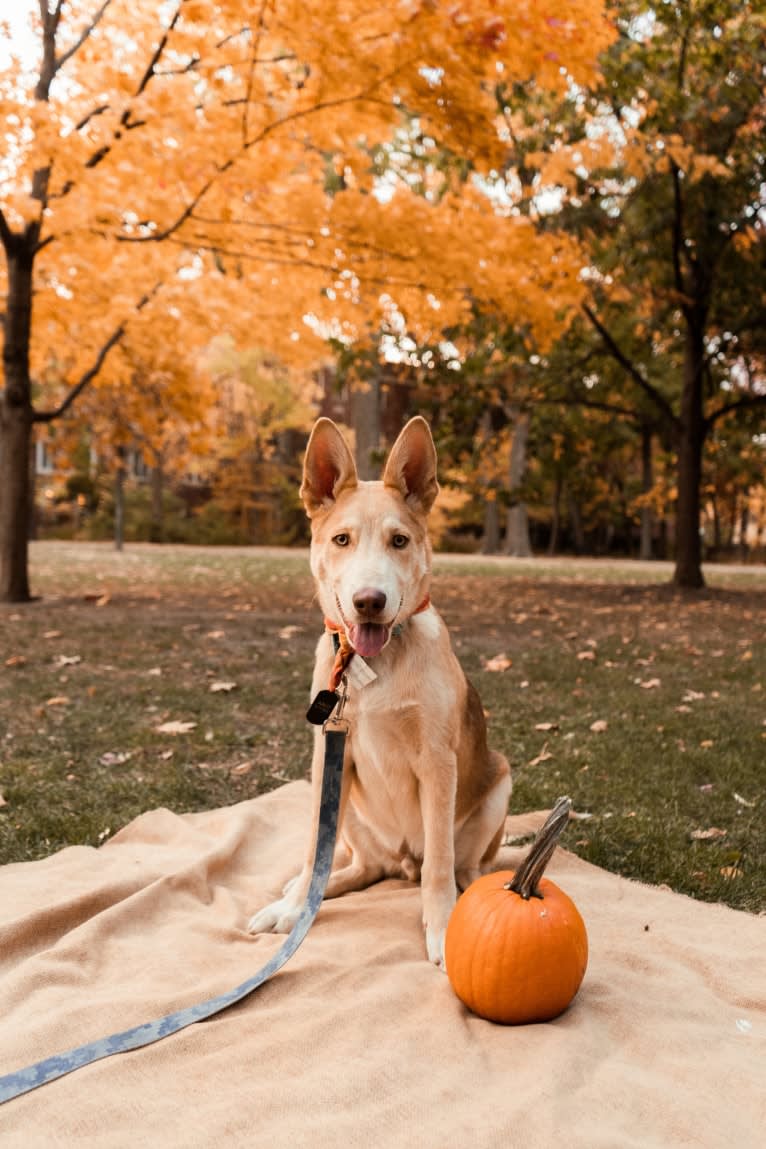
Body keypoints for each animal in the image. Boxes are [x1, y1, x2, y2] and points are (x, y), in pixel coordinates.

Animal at [251, 418, 512, 965]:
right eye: (341, 539)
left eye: (399, 540)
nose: (368, 601)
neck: (373, 665)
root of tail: (400, 862)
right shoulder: (330, 754)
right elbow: (314, 846)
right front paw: (294, 909)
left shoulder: (438, 761)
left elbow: (439, 862)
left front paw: (442, 925)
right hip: (344, 801)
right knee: (360, 866)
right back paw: (304, 894)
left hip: (499, 782)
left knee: (459, 867)